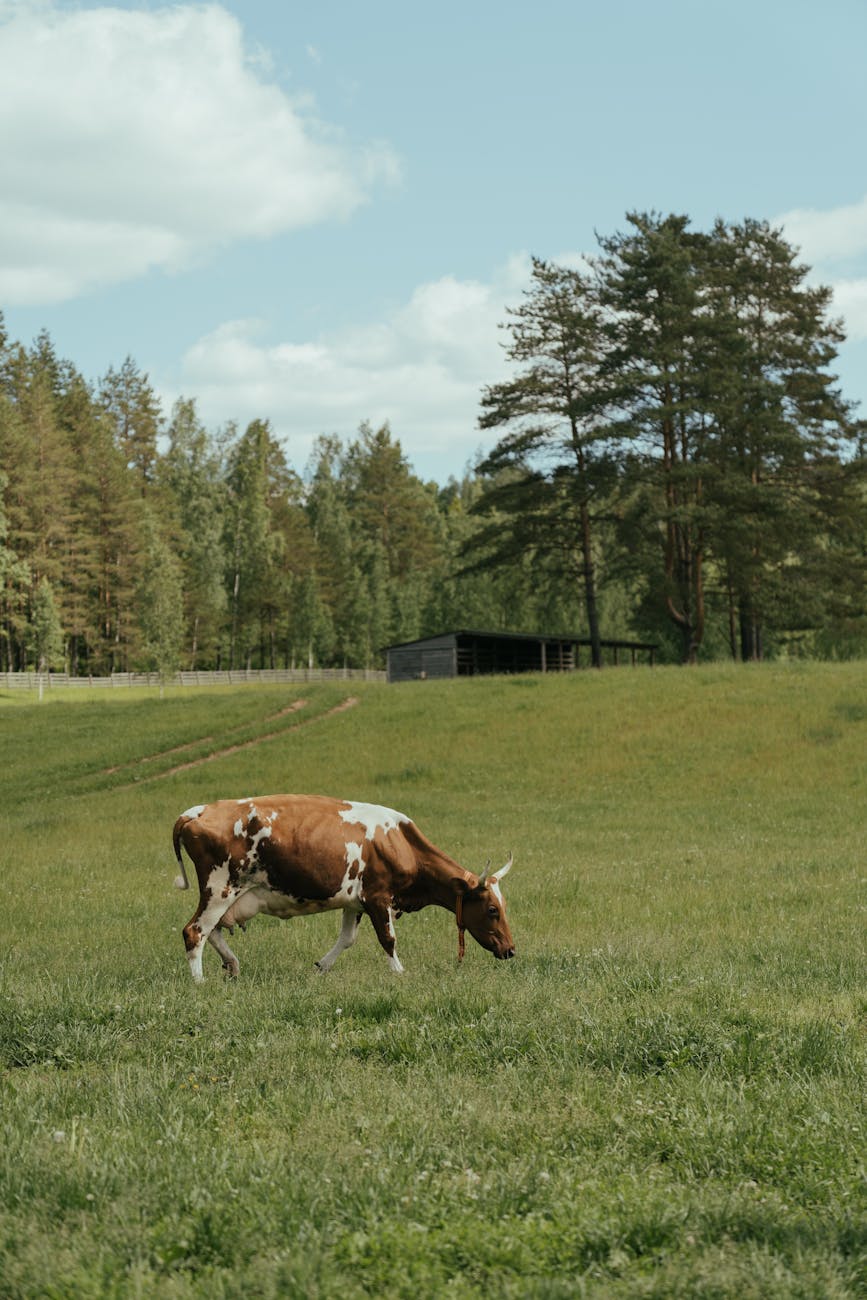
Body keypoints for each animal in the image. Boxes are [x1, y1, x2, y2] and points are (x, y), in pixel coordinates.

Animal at [171, 790, 514, 982]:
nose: (511, 950)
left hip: (226, 896)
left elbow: (347, 939)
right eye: (492, 909)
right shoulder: (378, 897)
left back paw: (232, 965)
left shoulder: (354, 901)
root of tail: (198, 811)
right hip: (220, 888)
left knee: (212, 931)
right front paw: (399, 973)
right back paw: (200, 982)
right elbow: (388, 939)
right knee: (195, 931)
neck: (398, 841)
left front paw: (321, 967)